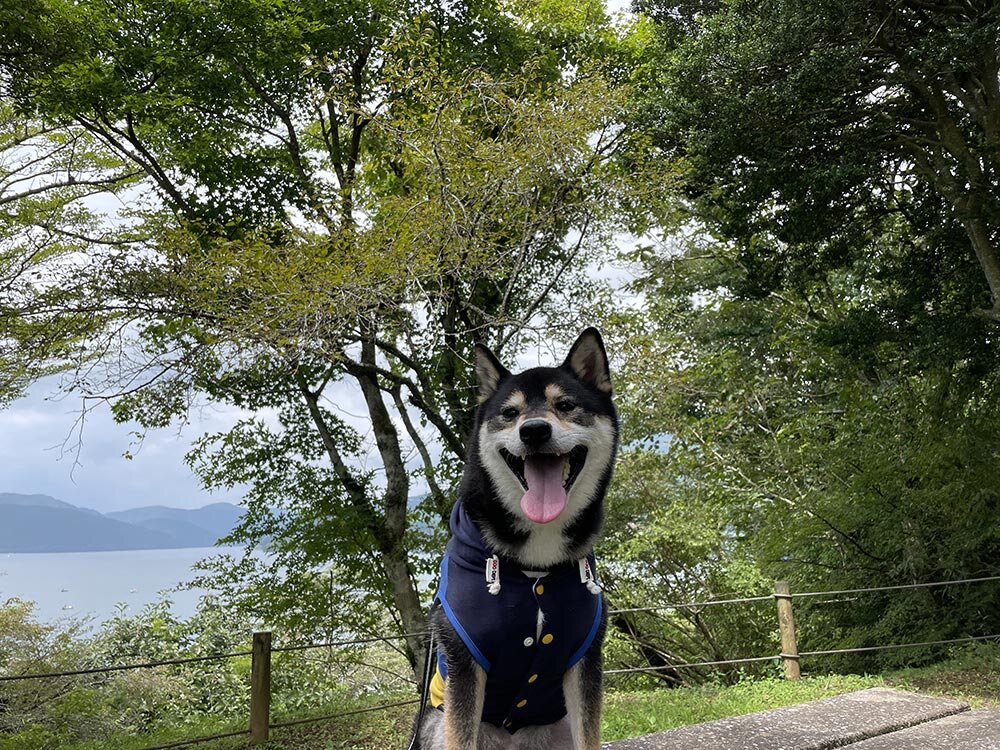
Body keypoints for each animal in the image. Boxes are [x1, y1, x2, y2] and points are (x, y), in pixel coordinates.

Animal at [408, 328, 616, 750]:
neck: (536, 565)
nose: (534, 430)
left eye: (565, 405)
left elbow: (590, 735)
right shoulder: (463, 660)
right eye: (509, 413)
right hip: (433, 722)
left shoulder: (585, 656)